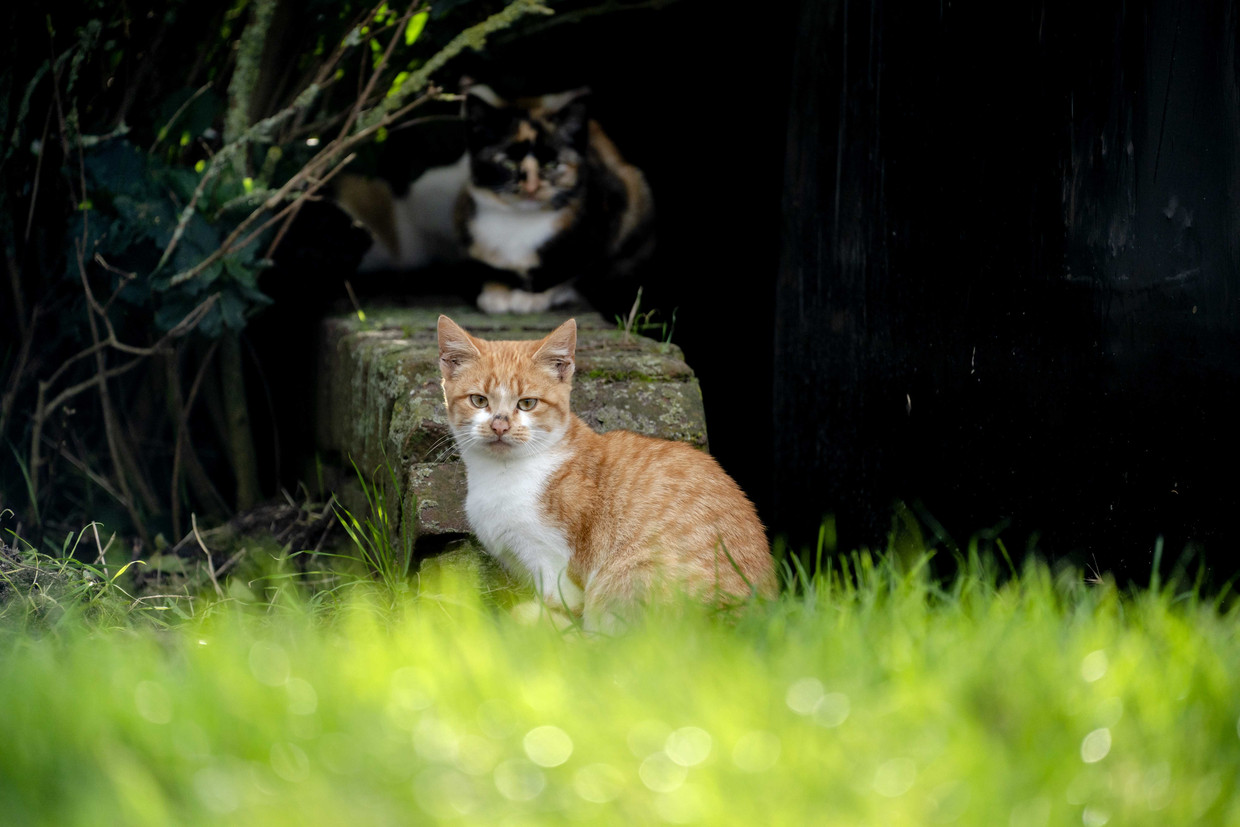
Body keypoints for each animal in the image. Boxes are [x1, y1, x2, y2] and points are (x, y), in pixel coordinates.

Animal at [334, 84, 654, 313]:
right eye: (508, 163)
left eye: (552, 165)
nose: (531, 187)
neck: (518, 225)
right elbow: (492, 268)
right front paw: (496, 294)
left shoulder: (608, 213)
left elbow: (565, 269)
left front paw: (533, 298)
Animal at [431, 313, 768, 629]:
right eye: (479, 400)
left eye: (527, 403)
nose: (500, 425)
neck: (501, 474)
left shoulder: (554, 565)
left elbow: (559, 621)